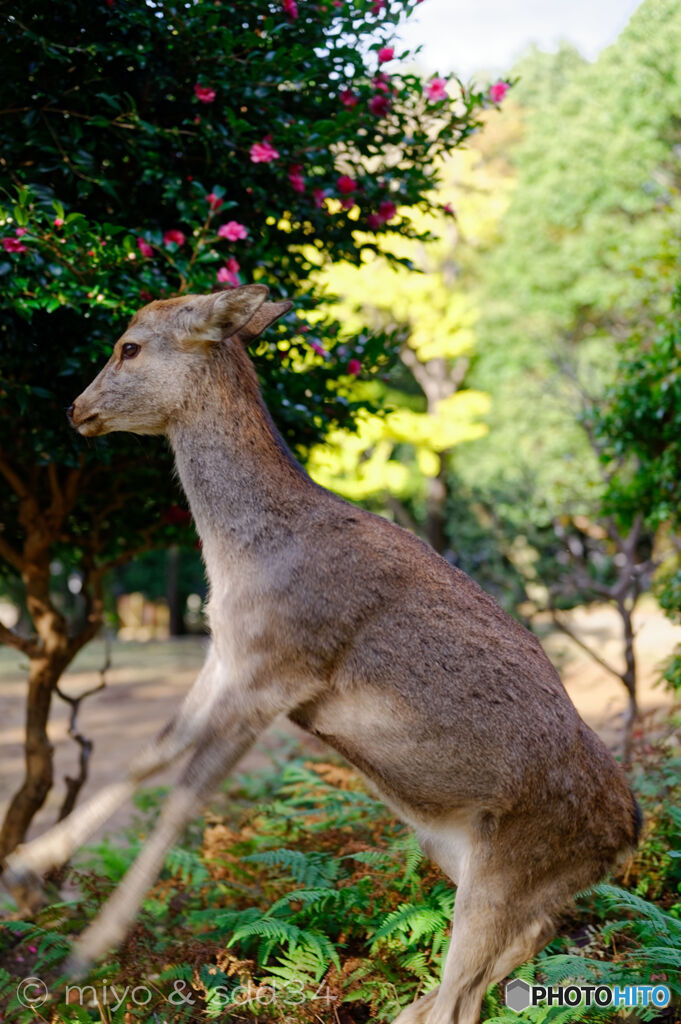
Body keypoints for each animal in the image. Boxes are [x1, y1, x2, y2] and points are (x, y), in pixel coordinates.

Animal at [0, 282, 639, 1024]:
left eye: (129, 347)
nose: (77, 408)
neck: (241, 560)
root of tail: (629, 831)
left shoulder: (280, 667)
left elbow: (188, 792)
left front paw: (88, 946)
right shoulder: (227, 655)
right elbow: (152, 754)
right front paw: (23, 868)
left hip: (510, 866)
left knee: (466, 991)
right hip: (458, 849)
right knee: (519, 946)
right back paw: (408, 1007)